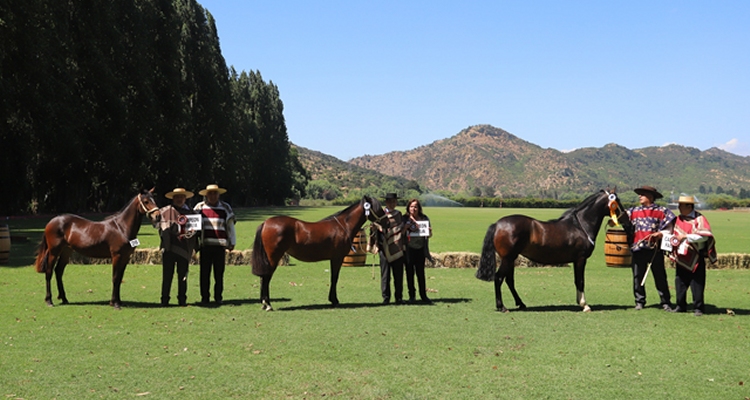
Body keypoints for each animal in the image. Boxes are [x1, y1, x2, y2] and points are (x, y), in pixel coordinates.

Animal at [254, 195, 388, 310]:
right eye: (378, 208)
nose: (386, 222)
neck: (343, 226)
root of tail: (266, 223)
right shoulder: (337, 258)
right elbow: (334, 278)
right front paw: (334, 300)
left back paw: (264, 304)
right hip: (273, 258)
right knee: (266, 278)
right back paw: (268, 304)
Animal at [476, 191, 636, 312]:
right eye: (617, 202)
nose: (628, 220)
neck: (579, 226)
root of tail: (497, 224)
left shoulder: (576, 261)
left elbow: (576, 281)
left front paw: (579, 302)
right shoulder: (581, 259)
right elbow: (580, 281)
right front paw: (584, 305)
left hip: (511, 259)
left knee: (509, 280)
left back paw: (521, 303)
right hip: (508, 259)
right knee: (498, 278)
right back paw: (502, 307)